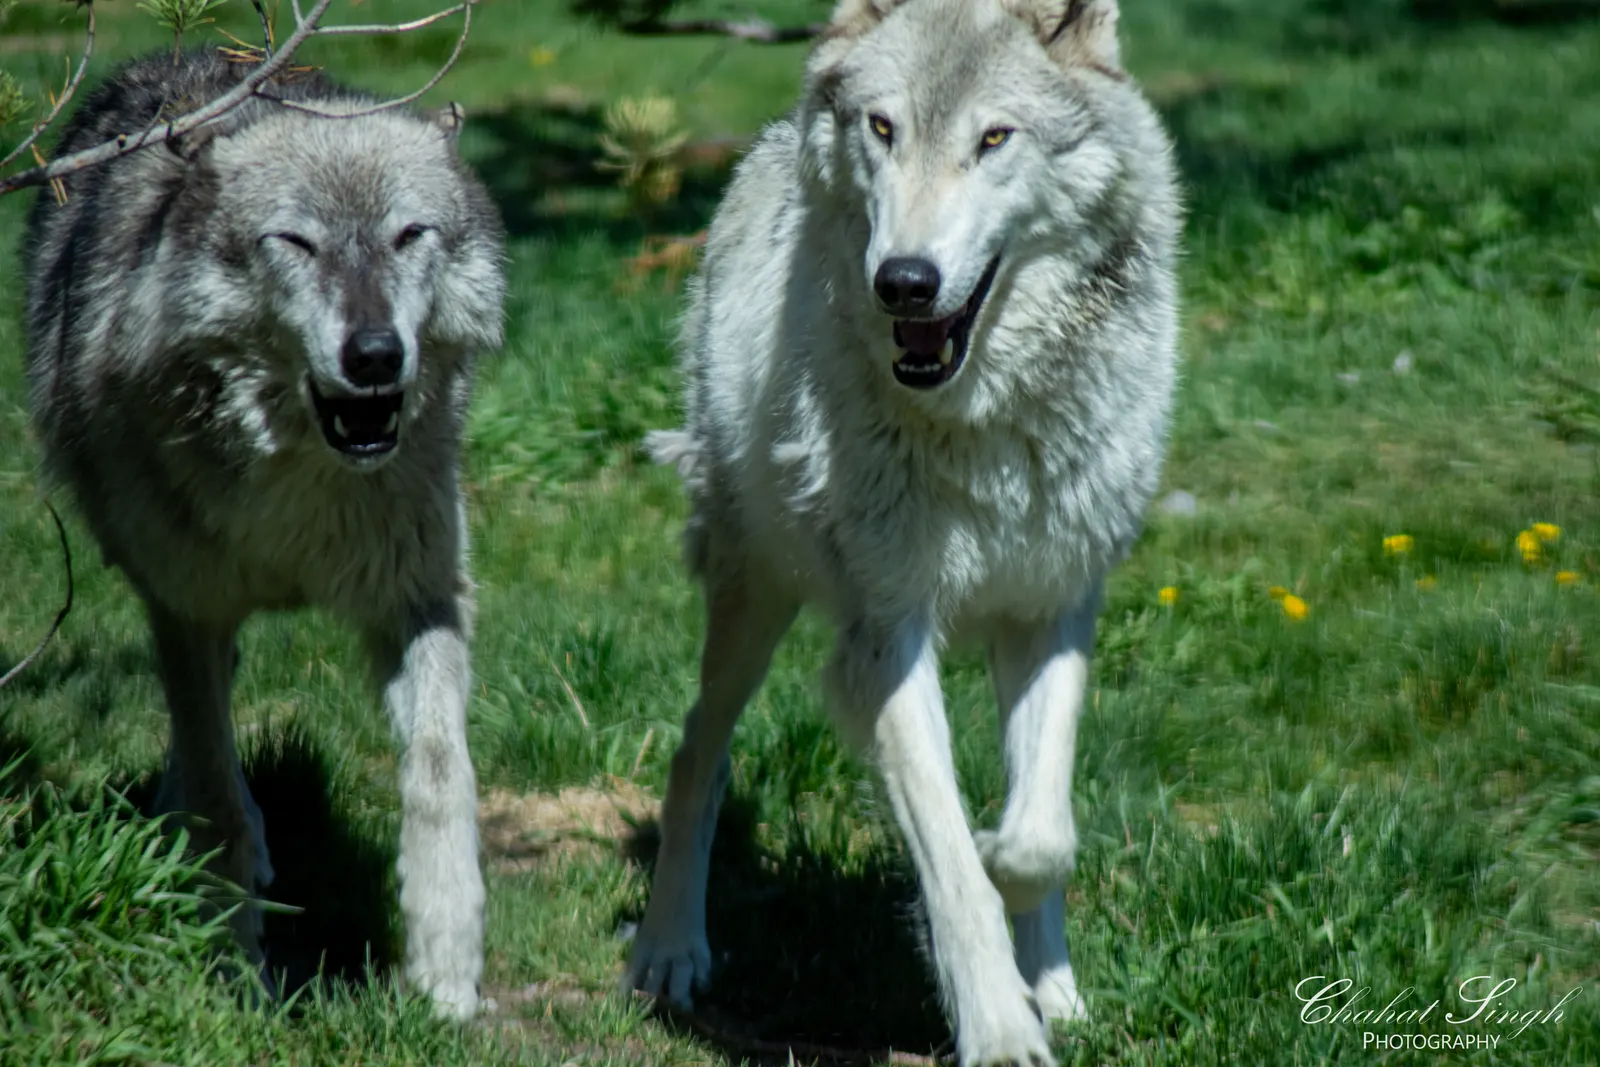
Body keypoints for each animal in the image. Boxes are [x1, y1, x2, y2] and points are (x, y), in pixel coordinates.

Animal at [21, 51, 506, 1019]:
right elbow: (217, 787)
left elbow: (442, 773)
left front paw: (445, 971)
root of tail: (177, 62)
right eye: (296, 243)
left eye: (410, 235)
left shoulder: (422, 595)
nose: (375, 355)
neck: (306, 488)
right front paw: (233, 968)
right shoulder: (188, 607)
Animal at [624, 0, 1180, 1062]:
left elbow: (1042, 840)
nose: (906, 282)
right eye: (884, 129)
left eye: (994, 138)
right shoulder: (887, 636)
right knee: (696, 753)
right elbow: (955, 866)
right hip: (756, 590)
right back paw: (670, 950)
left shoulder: (1054, 608)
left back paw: (1060, 988)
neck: (986, 423)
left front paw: (1039, 969)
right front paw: (1001, 1027)